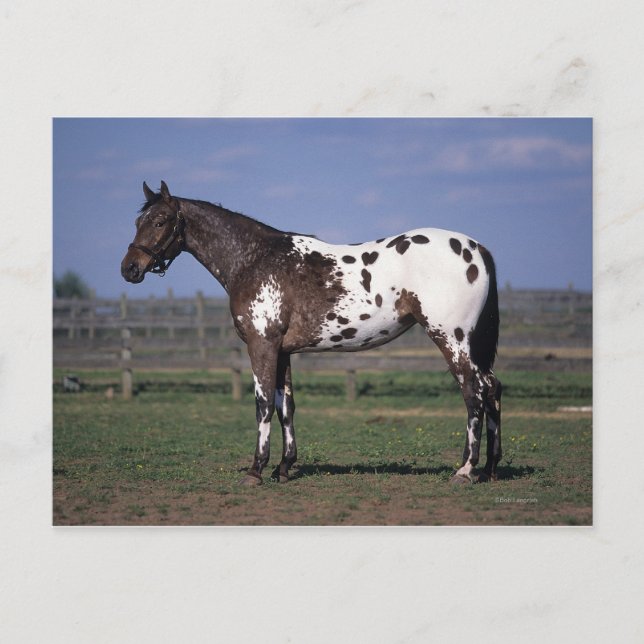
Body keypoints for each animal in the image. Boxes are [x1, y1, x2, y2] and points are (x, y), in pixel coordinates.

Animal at [121, 181, 503, 486]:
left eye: (159, 221)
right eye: (137, 221)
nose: (129, 269)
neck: (254, 259)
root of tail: (476, 248)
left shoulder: (262, 345)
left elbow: (262, 404)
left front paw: (256, 470)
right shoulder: (282, 351)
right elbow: (285, 406)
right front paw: (283, 467)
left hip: (451, 338)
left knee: (473, 392)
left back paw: (465, 471)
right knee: (492, 388)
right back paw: (490, 468)